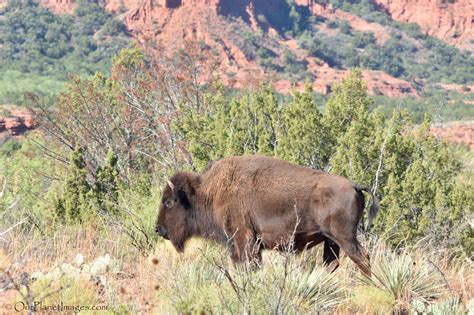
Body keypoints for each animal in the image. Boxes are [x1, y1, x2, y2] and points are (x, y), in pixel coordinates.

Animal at [156, 156, 378, 276]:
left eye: (169, 202)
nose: (158, 228)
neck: (208, 192)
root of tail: (354, 185)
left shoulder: (244, 239)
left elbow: (250, 265)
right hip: (330, 240)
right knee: (331, 263)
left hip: (345, 237)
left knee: (362, 257)